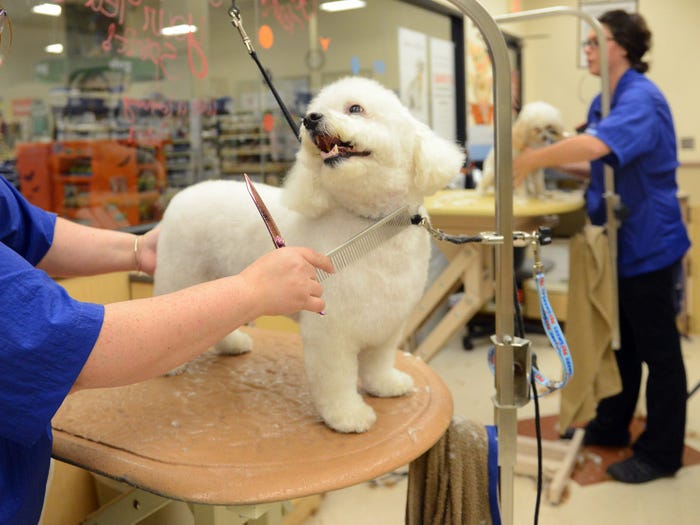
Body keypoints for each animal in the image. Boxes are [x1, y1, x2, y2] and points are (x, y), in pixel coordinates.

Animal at [154, 75, 464, 432]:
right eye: (313, 110)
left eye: (355, 108)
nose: (311, 119)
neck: (370, 224)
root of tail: (182, 195)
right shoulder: (330, 331)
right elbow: (336, 380)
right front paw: (347, 416)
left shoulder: (387, 321)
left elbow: (378, 361)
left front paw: (385, 385)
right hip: (181, 276)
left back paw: (232, 344)